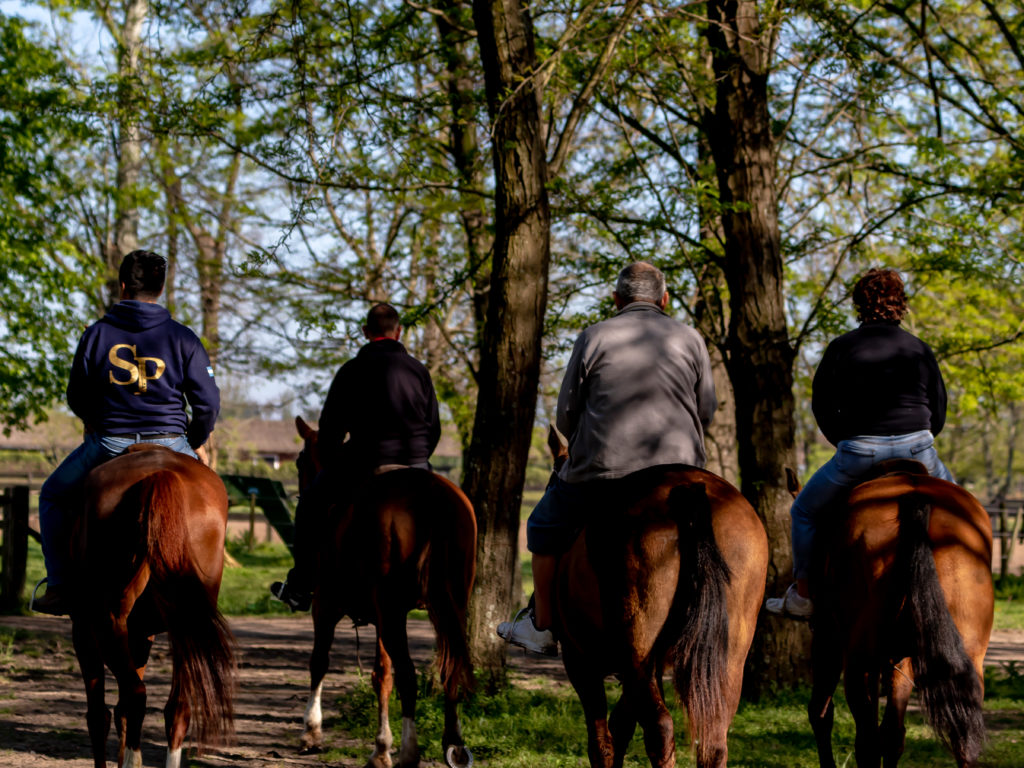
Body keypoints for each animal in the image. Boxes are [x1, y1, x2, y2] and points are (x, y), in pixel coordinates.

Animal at [71, 444, 234, 768]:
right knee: (176, 708)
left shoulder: (83, 630)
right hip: (186, 625)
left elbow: (99, 715)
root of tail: (160, 473)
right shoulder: (140, 634)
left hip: (106, 622)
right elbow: (121, 710)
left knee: (135, 696)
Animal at [292, 421, 475, 768]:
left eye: (299, 462)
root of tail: (431, 494)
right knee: (449, 668)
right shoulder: (381, 616)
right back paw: (454, 744)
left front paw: (311, 730)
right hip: (447, 607)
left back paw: (410, 752)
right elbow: (381, 675)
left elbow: (319, 661)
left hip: (391, 611)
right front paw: (380, 748)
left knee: (408, 675)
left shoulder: (325, 605)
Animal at [548, 428, 765, 768]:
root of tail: (688, 488)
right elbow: (621, 725)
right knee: (714, 738)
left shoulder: (580, 659)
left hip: (638, 644)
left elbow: (602, 741)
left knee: (660, 729)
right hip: (728, 656)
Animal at [786, 462, 995, 768]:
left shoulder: (828, 639)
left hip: (856, 660)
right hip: (968, 658)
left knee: (866, 741)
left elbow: (821, 712)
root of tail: (914, 499)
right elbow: (893, 733)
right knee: (961, 744)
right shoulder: (900, 660)